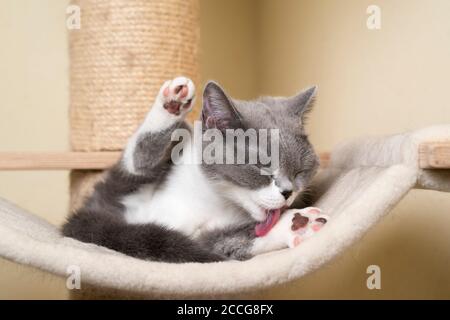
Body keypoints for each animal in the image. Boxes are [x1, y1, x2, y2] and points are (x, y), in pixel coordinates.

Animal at [61, 76, 326, 262]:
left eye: (300, 171)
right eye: (261, 166)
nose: (288, 192)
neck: (212, 197)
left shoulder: (205, 237)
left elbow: (230, 242)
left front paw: (299, 223)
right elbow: (139, 160)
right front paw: (173, 102)